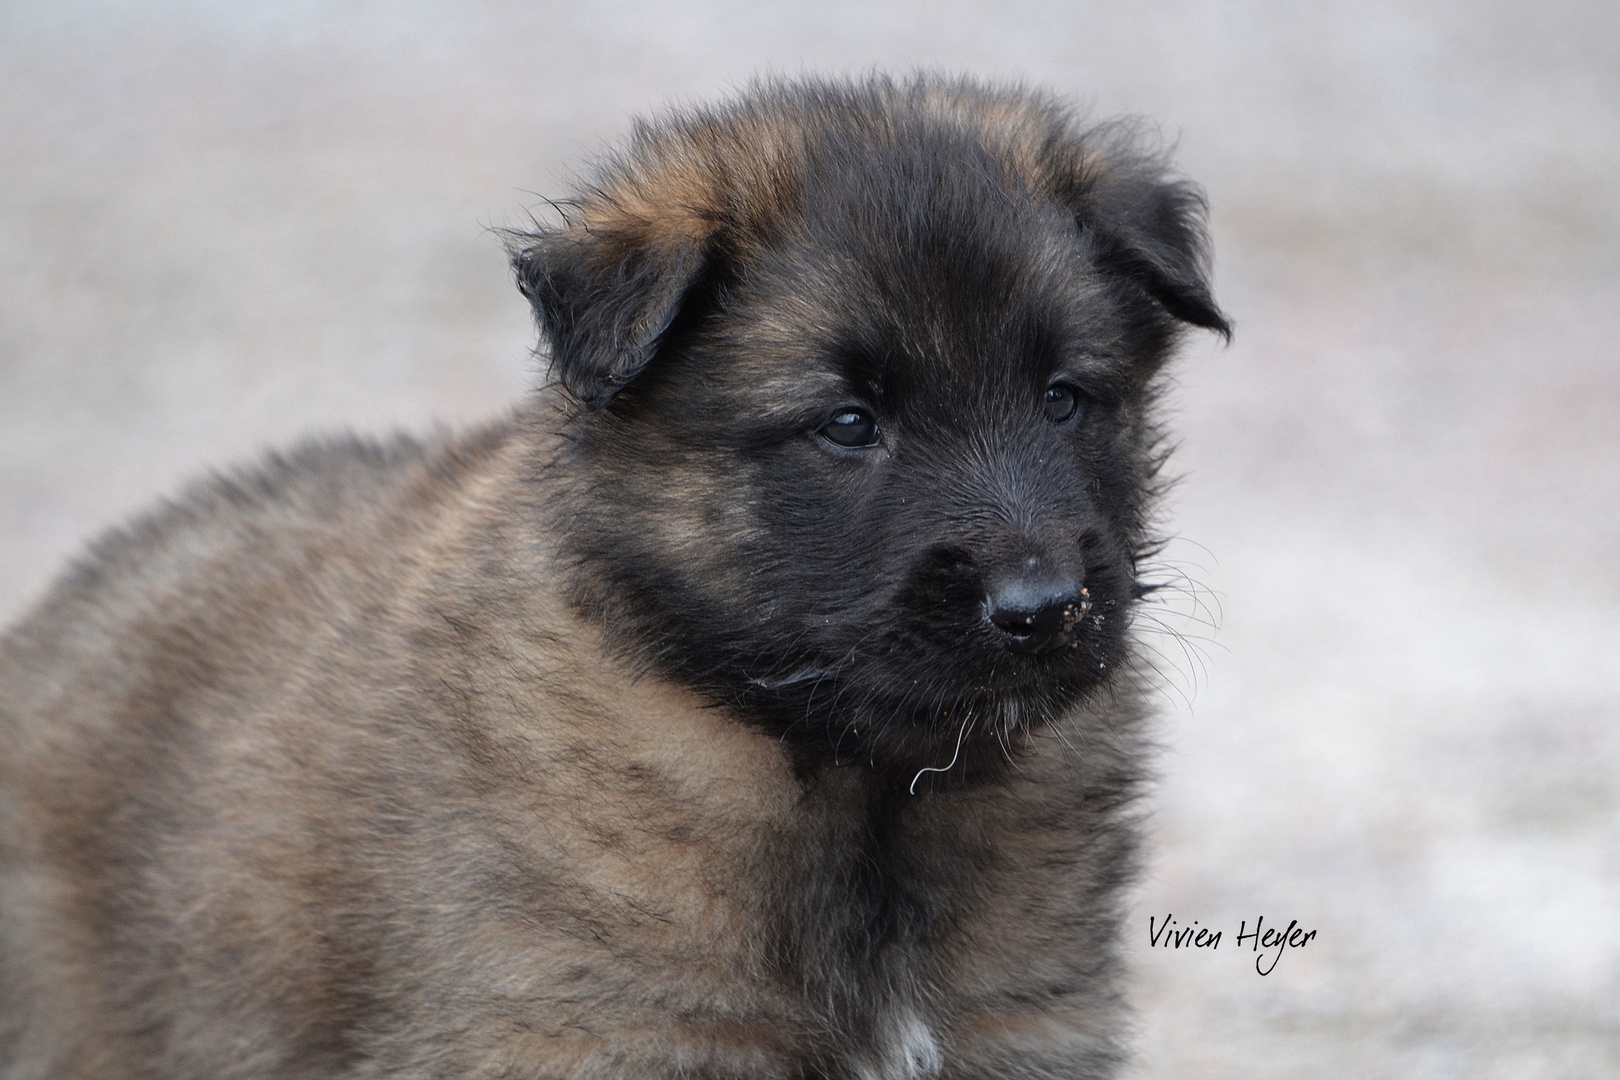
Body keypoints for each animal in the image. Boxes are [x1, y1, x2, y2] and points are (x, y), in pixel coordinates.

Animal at [0, 78, 1224, 1080]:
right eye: (847, 424)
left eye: (1064, 398)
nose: (1043, 608)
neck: (862, 791)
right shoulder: (593, 1028)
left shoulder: (1021, 1023)